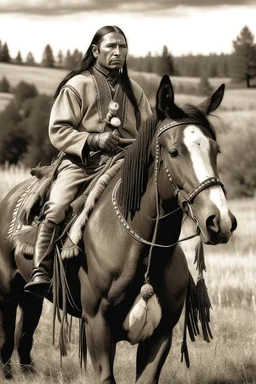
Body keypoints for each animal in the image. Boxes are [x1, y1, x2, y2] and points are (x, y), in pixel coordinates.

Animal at [0, 76, 236, 384]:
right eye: (174, 152)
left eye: (215, 150)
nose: (218, 221)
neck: (142, 252)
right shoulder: (98, 327)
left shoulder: (161, 336)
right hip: (7, 289)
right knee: (7, 336)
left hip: (31, 296)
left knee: (24, 332)